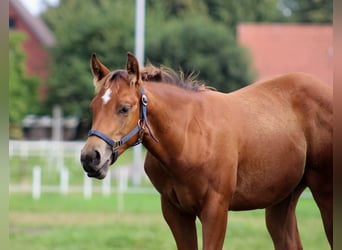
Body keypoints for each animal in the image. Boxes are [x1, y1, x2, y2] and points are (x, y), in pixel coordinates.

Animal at [79, 51, 332, 249]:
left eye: (124, 108)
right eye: (93, 107)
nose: (90, 157)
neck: (189, 139)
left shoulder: (216, 210)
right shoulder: (176, 212)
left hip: (325, 192)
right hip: (282, 201)